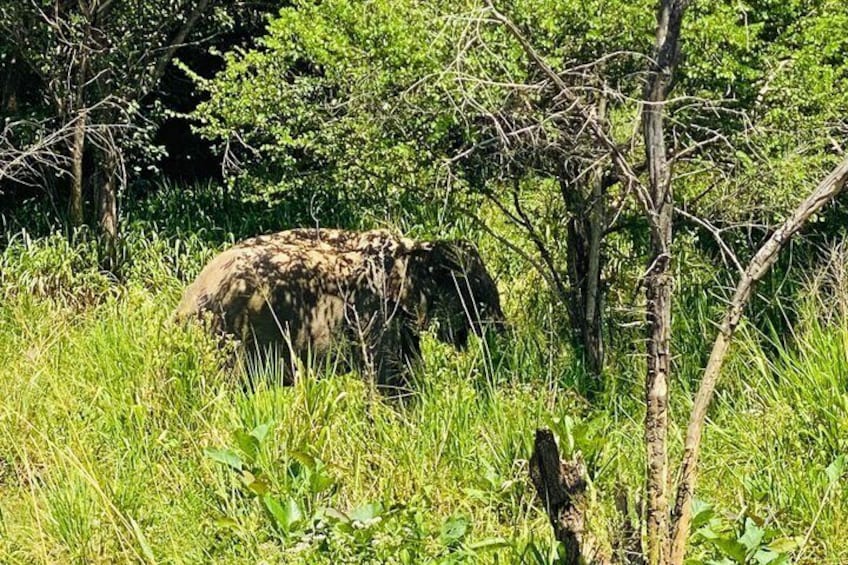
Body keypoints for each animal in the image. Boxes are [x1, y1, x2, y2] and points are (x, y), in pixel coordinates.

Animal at [174, 228, 506, 392]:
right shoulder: (371, 309)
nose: (502, 332)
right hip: (231, 330)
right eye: (474, 295)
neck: (411, 249)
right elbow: (389, 377)